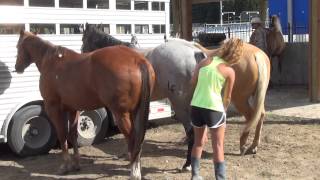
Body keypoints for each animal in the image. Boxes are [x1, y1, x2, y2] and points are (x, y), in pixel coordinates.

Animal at [15, 30, 155, 179]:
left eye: (18, 47)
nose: (17, 67)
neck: (52, 62)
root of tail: (137, 59)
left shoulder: (53, 108)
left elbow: (62, 134)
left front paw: (65, 166)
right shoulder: (72, 109)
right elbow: (72, 135)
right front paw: (76, 164)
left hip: (121, 114)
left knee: (132, 138)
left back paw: (134, 172)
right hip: (135, 111)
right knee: (138, 139)